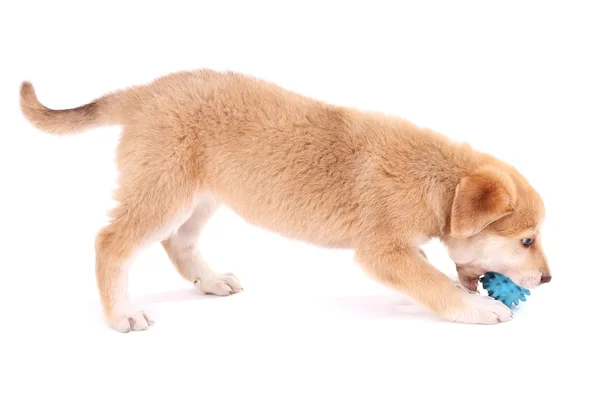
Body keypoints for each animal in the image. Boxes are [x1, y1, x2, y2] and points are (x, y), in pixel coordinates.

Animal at [18, 69, 552, 332]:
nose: (548, 280)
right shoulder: (384, 250)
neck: (436, 181)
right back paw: (121, 314)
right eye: (527, 240)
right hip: (163, 194)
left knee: (179, 243)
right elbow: (433, 283)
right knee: (110, 242)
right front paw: (478, 310)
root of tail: (146, 91)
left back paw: (210, 280)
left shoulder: (404, 248)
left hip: (201, 197)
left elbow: (434, 275)